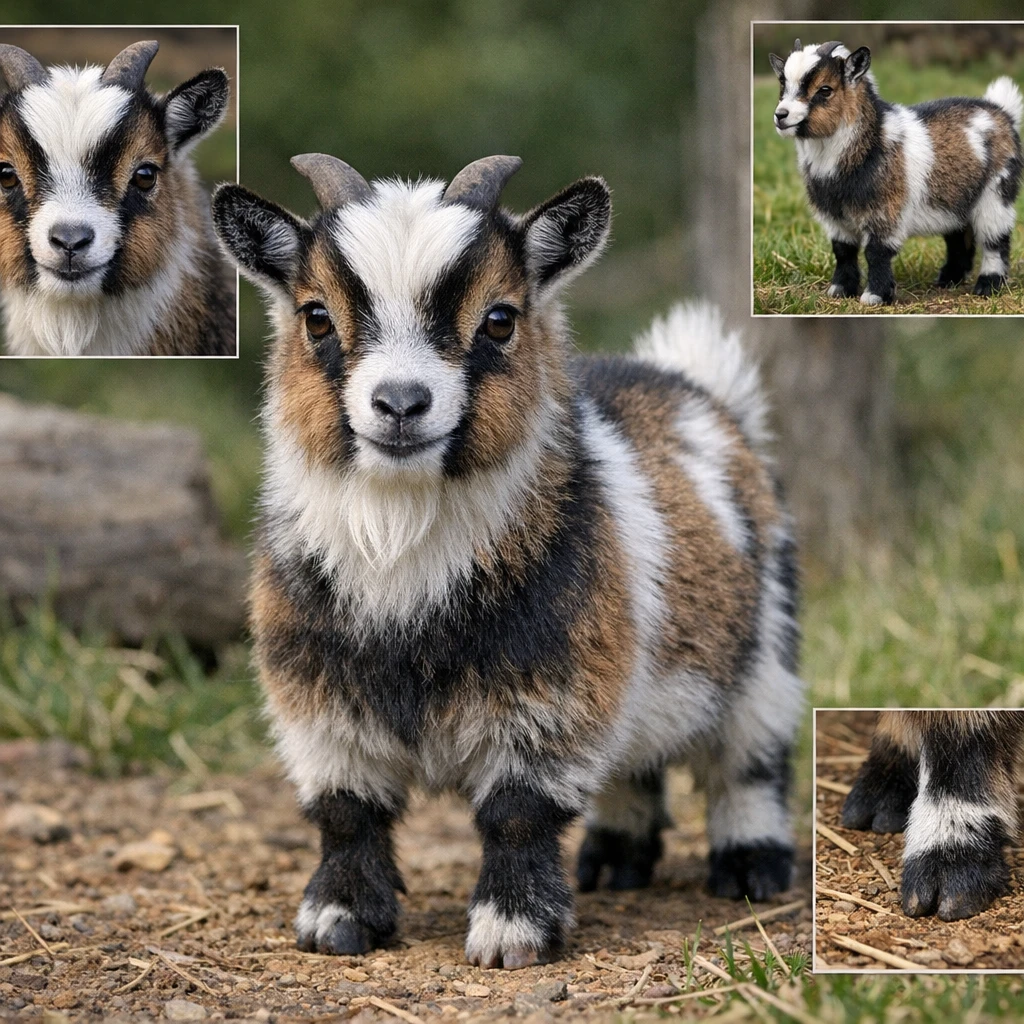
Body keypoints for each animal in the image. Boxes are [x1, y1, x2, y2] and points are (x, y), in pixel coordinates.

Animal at [212, 154, 804, 967]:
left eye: (500, 319)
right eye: (316, 317)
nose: (401, 403)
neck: (404, 546)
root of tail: (697, 388)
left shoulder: (557, 691)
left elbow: (518, 811)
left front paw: (511, 932)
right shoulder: (318, 699)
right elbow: (346, 812)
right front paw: (338, 921)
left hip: (766, 651)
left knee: (750, 761)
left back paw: (750, 867)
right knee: (633, 766)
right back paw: (613, 861)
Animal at [769, 39, 1023, 304]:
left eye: (825, 89)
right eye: (782, 84)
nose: (781, 115)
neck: (871, 141)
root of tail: (1002, 112)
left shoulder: (886, 211)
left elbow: (876, 252)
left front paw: (874, 296)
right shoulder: (836, 216)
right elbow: (843, 250)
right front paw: (840, 290)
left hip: (996, 192)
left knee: (995, 238)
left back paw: (988, 285)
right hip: (956, 198)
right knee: (958, 236)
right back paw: (949, 279)